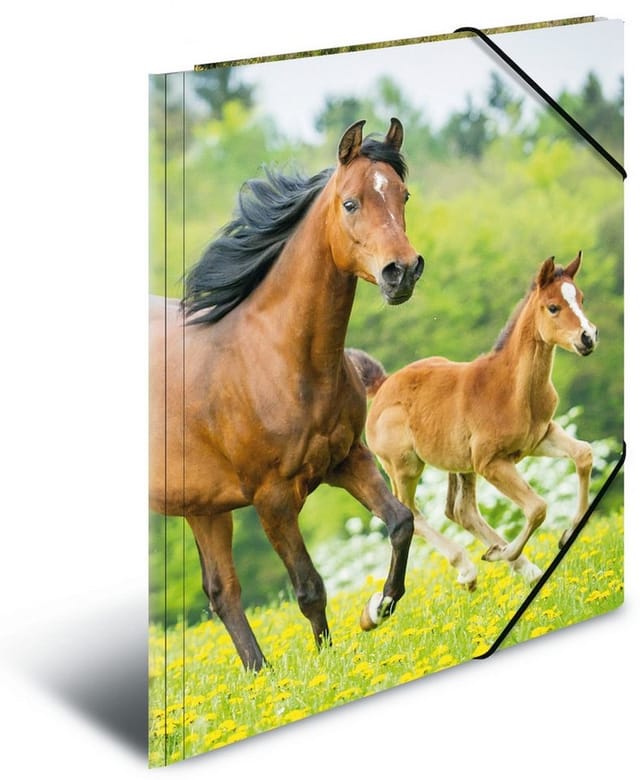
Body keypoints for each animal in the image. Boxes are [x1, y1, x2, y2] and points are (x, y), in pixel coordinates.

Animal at [149, 119, 425, 671]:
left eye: (402, 194)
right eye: (350, 203)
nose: (402, 271)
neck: (276, 359)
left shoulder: (347, 459)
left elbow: (401, 522)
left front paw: (376, 609)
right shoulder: (272, 498)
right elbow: (309, 587)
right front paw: (327, 664)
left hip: (202, 507)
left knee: (222, 592)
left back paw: (261, 676)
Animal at [353, 253, 597, 590]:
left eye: (581, 299)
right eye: (553, 307)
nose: (588, 338)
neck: (512, 389)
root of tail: (383, 385)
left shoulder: (540, 437)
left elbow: (583, 454)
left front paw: (565, 535)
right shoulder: (490, 462)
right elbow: (538, 507)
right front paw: (505, 552)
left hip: (458, 463)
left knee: (460, 511)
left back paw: (523, 567)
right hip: (404, 467)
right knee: (411, 513)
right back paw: (469, 568)